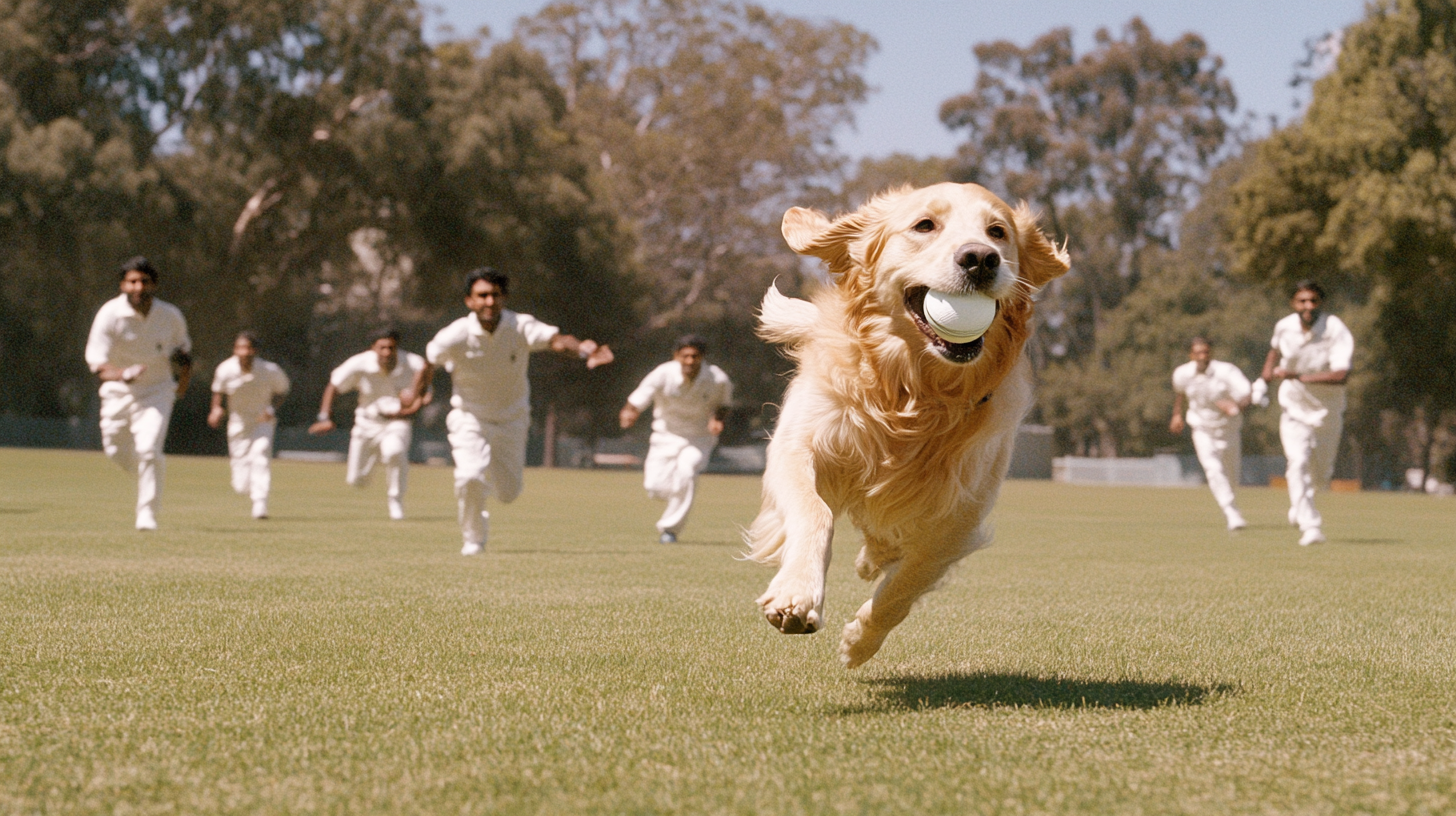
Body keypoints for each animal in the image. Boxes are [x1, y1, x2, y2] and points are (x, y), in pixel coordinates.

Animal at [745, 181, 1065, 667]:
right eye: (924, 225)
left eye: (998, 232)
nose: (981, 258)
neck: (911, 395)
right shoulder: (798, 448)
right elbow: (815, 512)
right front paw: (796, 595)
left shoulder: (960, 515)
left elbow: (906, 582)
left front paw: (860, 640)